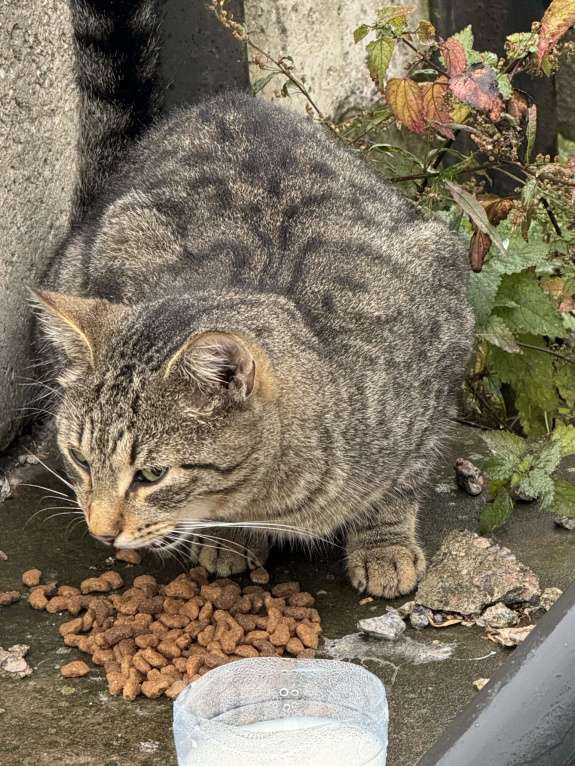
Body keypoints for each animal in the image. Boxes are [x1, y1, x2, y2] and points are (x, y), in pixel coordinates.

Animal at [31, 0, 474, 600]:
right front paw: (230, 539)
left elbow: (401, 482)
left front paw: (384, 543)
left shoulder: (441, 332)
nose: (101, 531)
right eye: (79, 459)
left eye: (151, 475)